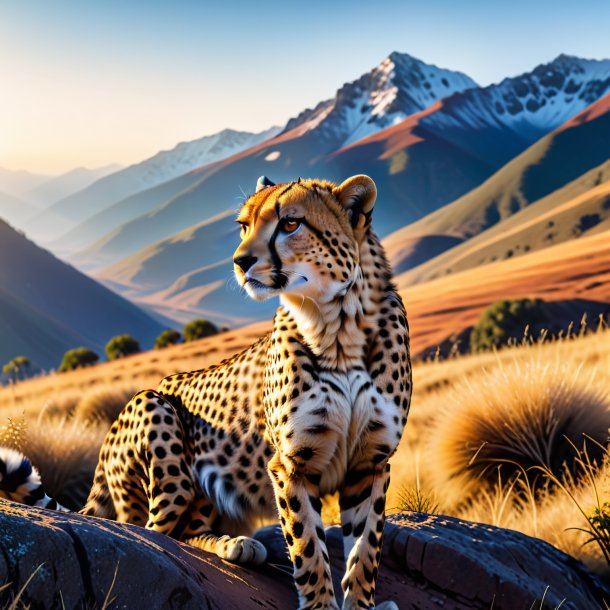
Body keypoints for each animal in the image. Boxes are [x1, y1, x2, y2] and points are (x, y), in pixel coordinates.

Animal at [0, 173, 410, 604]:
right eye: (245, 225)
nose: (240, 261)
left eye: (290, 223)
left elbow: (364, 552)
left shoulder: (371, 462)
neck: (339, 325)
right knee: (155, 533)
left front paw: (362, 603)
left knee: (184, 531)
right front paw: (319, 603)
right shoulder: (291, 464)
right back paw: (233, 545)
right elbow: (308, 547)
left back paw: (236, 544)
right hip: (156, 416)